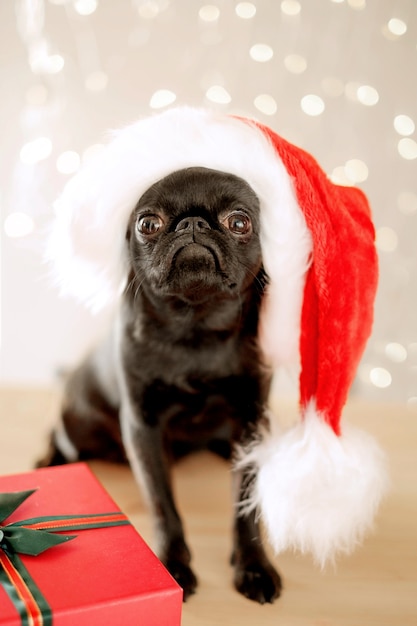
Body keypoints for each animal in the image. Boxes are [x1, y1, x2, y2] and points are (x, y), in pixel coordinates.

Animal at [39, 165, 282, 600]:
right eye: (147, 223)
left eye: (239, 222)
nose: (193, 224)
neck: (196, 325)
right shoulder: (143, 427)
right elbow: (163, 504)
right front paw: (173, 566)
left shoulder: (253, 420)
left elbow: (246, 503)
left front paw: (254, 566)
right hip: (79, 421)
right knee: (60, 435)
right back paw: (50, 461)